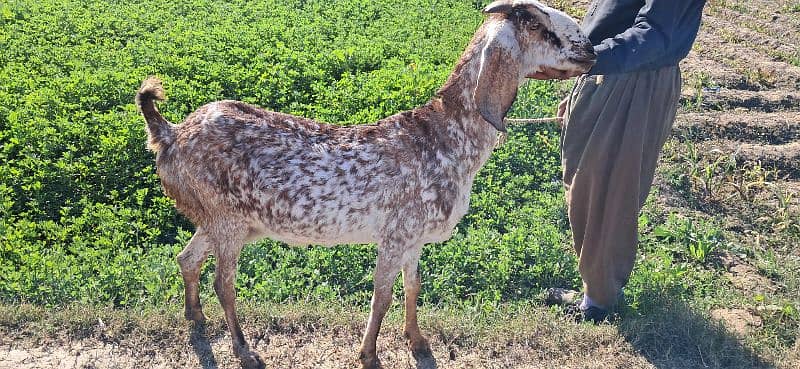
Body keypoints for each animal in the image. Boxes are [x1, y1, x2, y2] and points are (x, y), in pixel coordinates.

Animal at [134, 1, 592, 366]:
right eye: (537, 27)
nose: (589, 49)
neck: (441, 137)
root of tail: (171, 134)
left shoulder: (413, 236)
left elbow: (412, 286)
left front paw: (418, 342)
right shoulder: (396, 232)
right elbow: (382, 294)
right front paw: (368, 353)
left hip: (223, 220)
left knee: (187, 259)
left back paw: (195, 317)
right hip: (227, 219)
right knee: (223, 283)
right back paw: (244, 350)